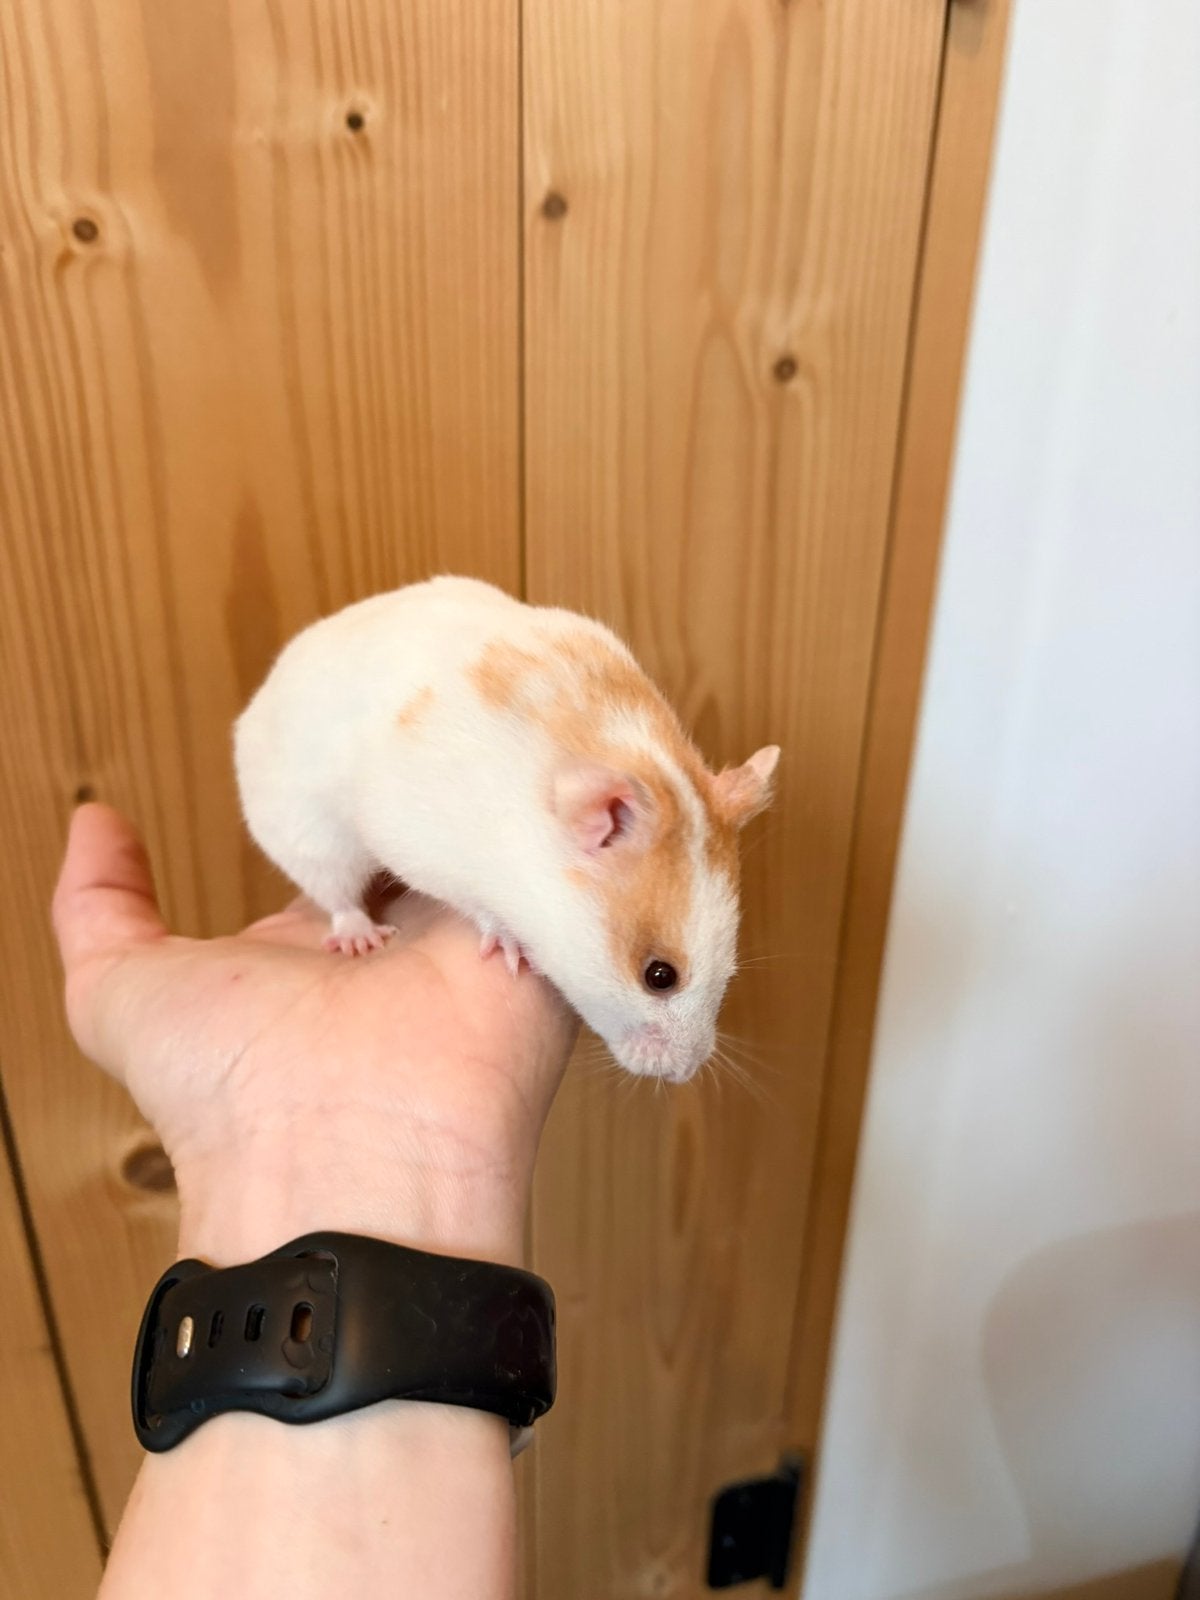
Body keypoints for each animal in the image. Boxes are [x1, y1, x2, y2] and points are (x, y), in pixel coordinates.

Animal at [234, 576, 779, 1082]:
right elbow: (480, 909)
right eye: (660, 976)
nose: (686, 1072)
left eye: (730, 966)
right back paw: (360, 937)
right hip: (307, 834)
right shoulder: (420, 840)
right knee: (337, 894)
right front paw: (511, 949)